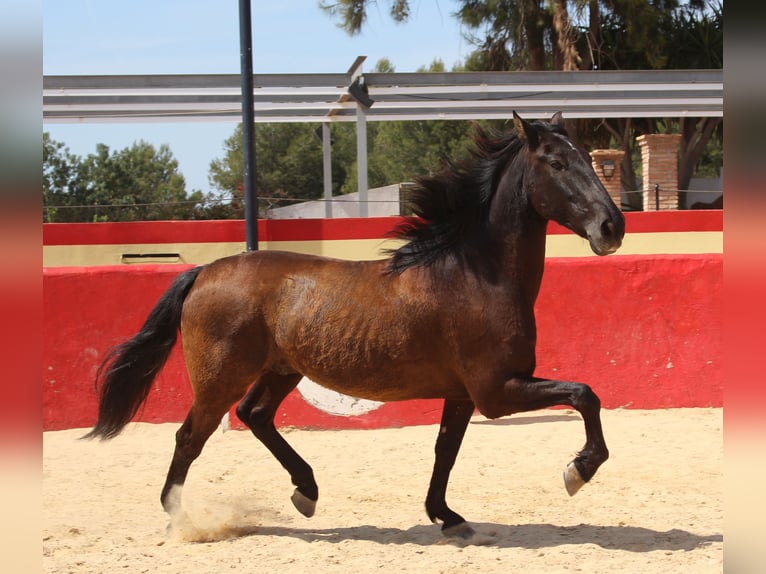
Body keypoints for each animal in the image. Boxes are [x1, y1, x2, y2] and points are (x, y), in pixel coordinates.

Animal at [85, 112, 624, 540]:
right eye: (557, 163)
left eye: (587, 157)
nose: (612, 226)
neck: (474, 274)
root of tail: (204, 272)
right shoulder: (497, 390)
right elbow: (585, 394)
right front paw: (578, 470)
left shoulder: (463, 394)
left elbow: (445, 450)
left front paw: (447, 516)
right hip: (221, 377)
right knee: (191, 437)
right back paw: (182, 518)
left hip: (282, 370)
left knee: (254, 415)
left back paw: (306, 491)